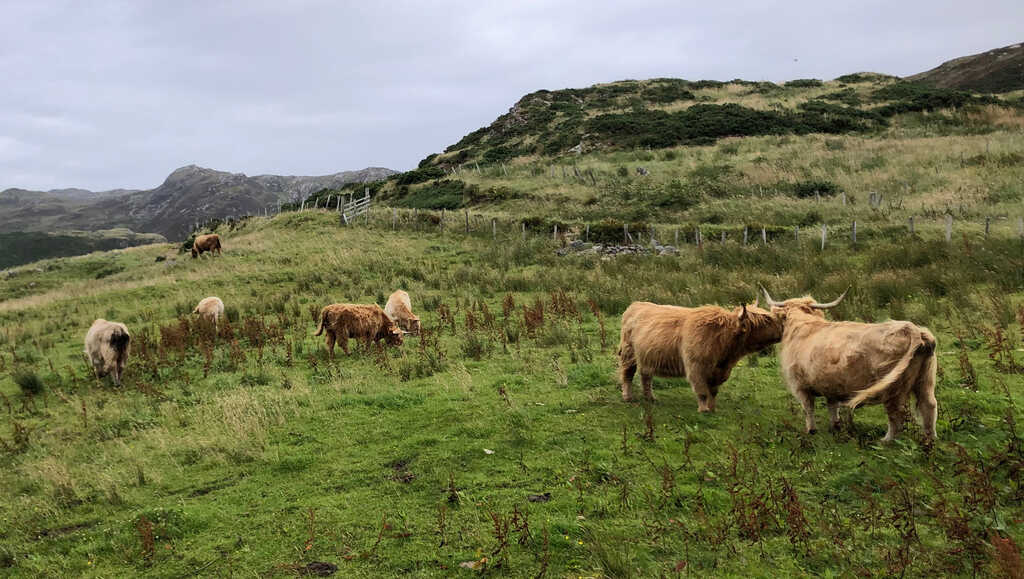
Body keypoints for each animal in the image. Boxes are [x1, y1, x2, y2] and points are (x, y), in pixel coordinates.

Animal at [614, 297, 782, 409]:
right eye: (766, 320)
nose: (782, 326)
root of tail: (635, 305)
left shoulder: (720, 370)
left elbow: (713, 391)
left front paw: (712, 408)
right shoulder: (697, 366)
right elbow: (702, 391)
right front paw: (704, 409)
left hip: (647, 356)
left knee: (646, 376)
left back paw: (650, 398)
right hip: (629, 353)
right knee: (627, 374)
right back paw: (628, 397)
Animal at [761, 284, 937, 442]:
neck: (803, 326)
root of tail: (912, 328)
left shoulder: (800, 385)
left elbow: (808, 408)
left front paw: (811, 430)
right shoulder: (830, 385)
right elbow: (832, 408)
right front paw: (835, 427)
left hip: (893, 387)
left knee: (896, 413)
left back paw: (886, 441)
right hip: (925, 381)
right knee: (928, 406)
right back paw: (929, 441)